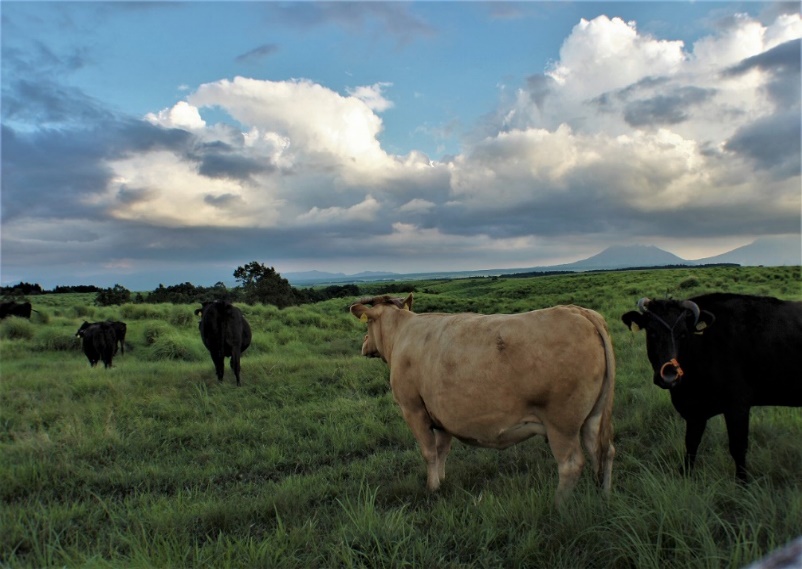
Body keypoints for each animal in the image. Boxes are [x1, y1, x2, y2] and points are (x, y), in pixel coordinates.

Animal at [346, 292, 616, 502]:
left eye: (367, 325)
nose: (364, 343)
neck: (402, 333)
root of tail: (579, 311)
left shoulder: (413, 408)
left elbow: (429, 451)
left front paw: (432, 488)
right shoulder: (441, 414)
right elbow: (442, 450)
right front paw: (442, 480)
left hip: (561, 422)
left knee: (571, 463)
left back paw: (558, 506)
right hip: (593, 416)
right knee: (603, 451)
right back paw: (603, 495)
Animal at [620, 290, 800, 482]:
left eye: (683, 334)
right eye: (652, 332)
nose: (668, 376)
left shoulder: (738, 406)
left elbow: (738, 447)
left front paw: (743, 483)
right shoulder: (695, 413)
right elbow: (691, 444)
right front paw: (685, 476)